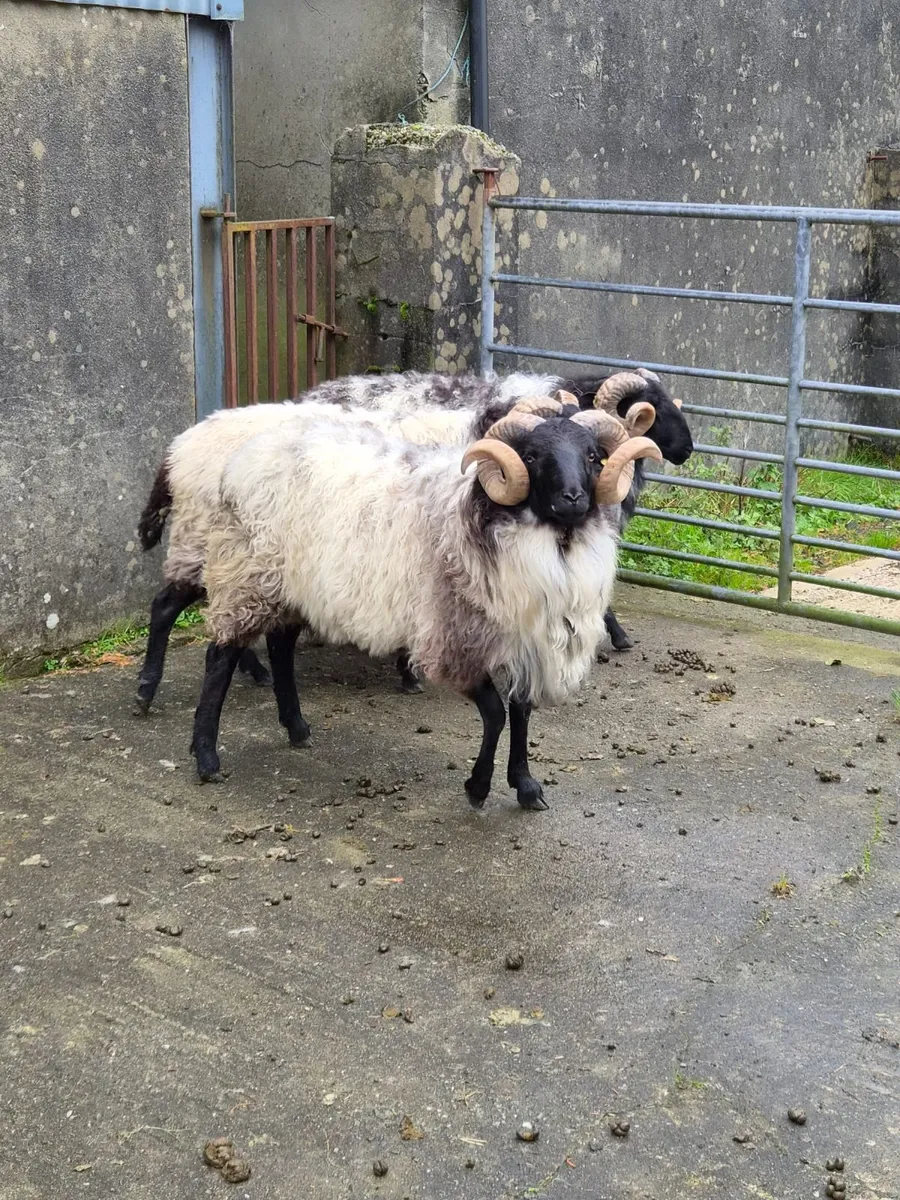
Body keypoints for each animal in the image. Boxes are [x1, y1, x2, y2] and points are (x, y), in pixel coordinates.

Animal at [191, 396, 663, 809]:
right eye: (530, 456)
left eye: (592, 456)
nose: (572, 498)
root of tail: (243, 456)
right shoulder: (455, 640)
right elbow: (496, 714)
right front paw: (478, 787)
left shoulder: (525, 642)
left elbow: (521, 712)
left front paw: (526, 785)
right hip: (247, 575)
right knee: (221, 655)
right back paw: (206, 757)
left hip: (291, 586)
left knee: (280, 647)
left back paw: (297, 728)